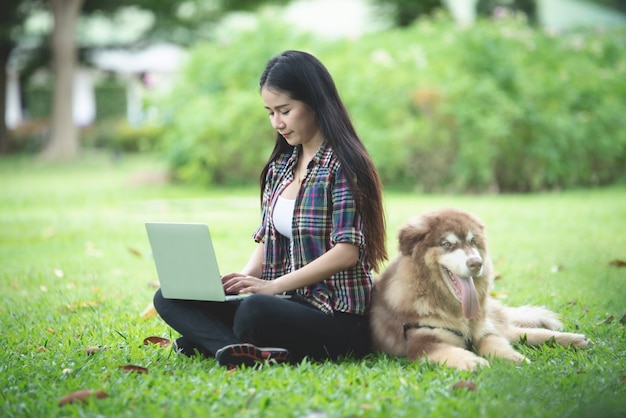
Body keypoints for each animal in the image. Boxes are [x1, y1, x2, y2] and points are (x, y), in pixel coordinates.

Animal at [368, 208, 588, 370]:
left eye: (473, 241)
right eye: (446, 244)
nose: (476, 263)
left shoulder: (483, 331)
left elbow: (495, 344)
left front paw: (513, 357)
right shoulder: (423, 341)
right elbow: (452, 352)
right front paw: (473, 361)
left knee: (524, 332)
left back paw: (575, 339)